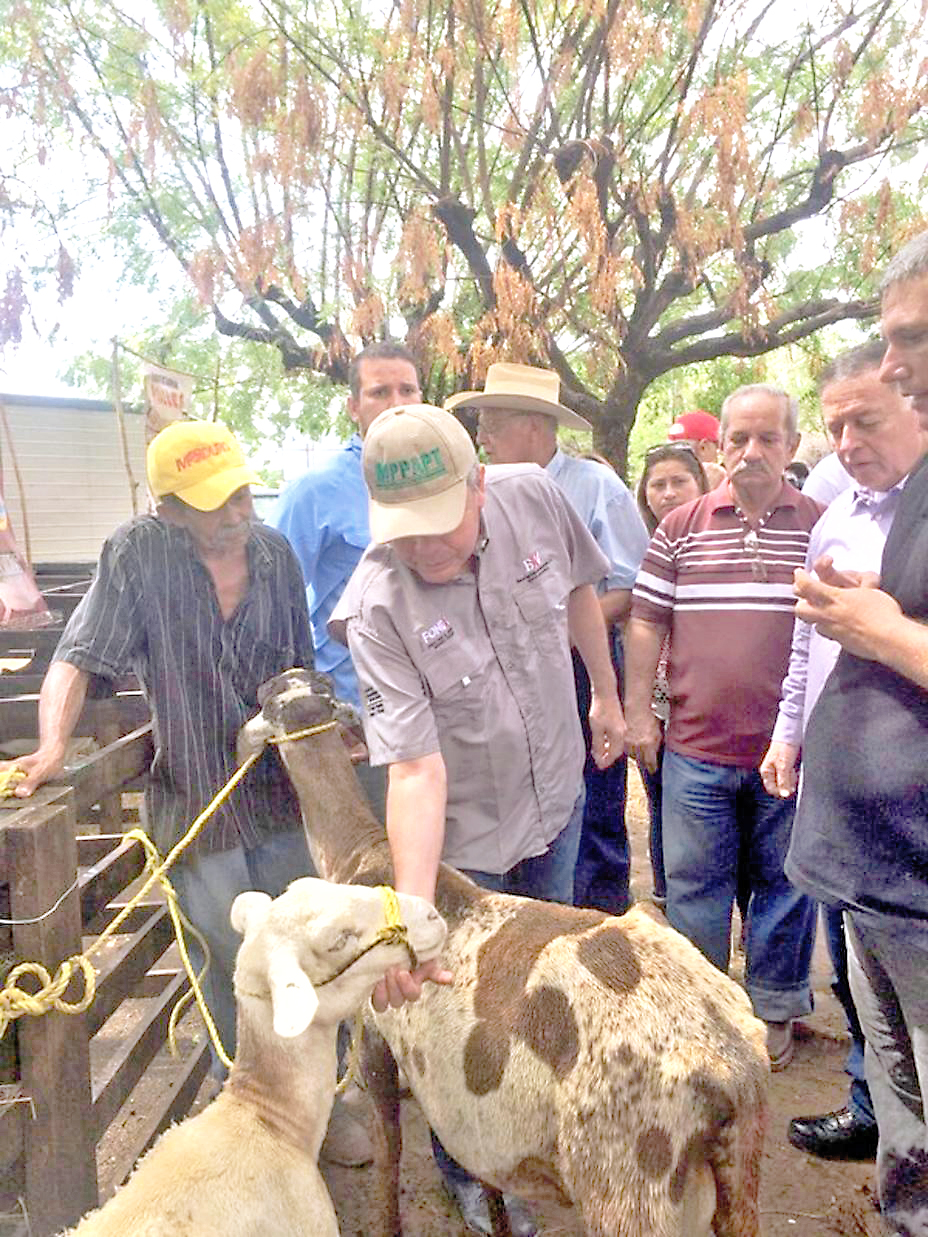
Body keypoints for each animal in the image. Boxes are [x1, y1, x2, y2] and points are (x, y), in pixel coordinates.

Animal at [240, 667, 772, 1237]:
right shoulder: (475, 1121)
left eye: (268, 702)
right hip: (735, 1180)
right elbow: (486, 1179)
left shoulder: (373, 1040)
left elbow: (389, 1151)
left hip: (630, 1190)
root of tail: (731, 1068)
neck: (360, 856)